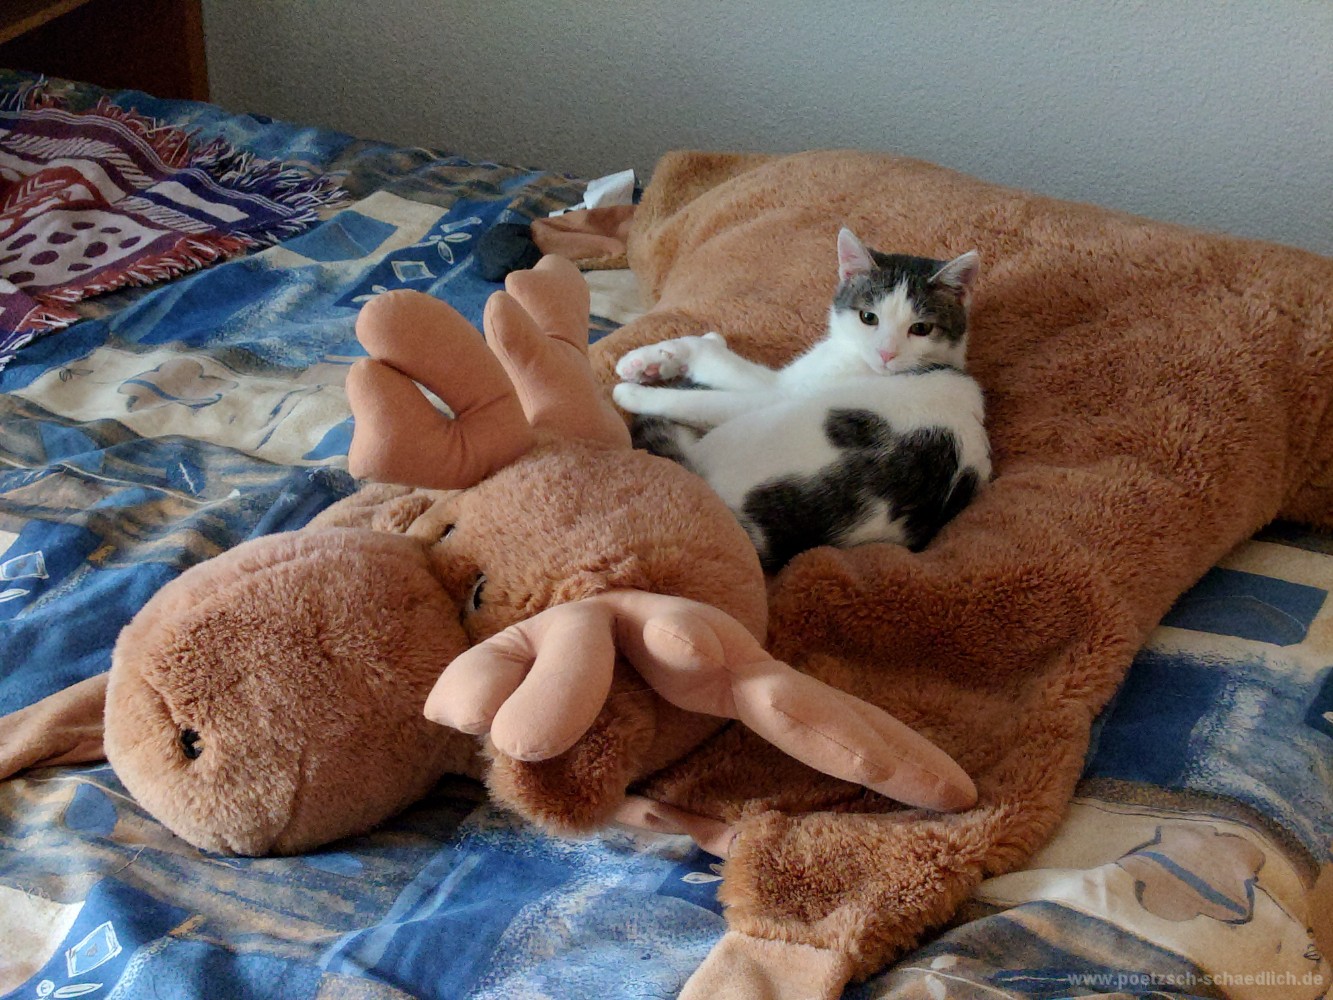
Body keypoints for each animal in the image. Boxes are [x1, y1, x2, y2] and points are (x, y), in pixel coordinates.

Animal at [612, 227, 991, 572]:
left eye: (921, 328)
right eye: (868, 317)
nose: (887, 354)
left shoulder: (779, 390)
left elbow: (712, 369)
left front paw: (636, 389)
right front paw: (649, 360)